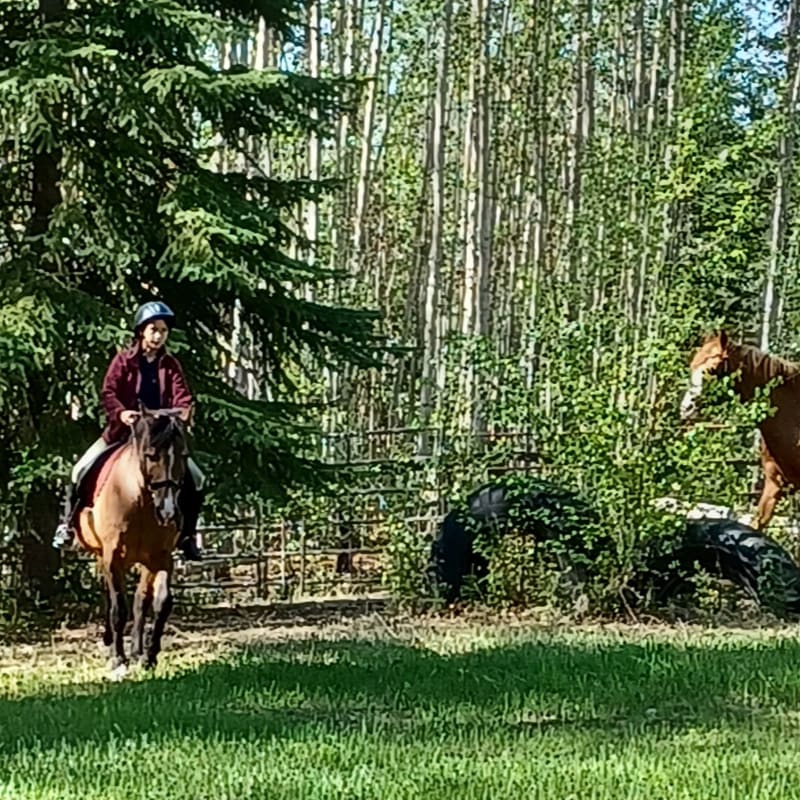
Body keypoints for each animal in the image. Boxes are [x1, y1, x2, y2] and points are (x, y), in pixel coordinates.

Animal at [75, 407, 190, 679]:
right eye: (150, 455)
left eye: (183, 455)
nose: (168, 512)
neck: (138, 499)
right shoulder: (112, 557)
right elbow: (118, 607)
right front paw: (118, 659)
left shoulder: (161, 557)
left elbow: (160, 603)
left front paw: (148, 656)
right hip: (102, 555)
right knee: (111, 598)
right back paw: (111, 644)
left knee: (140, 601)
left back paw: (137, 651)